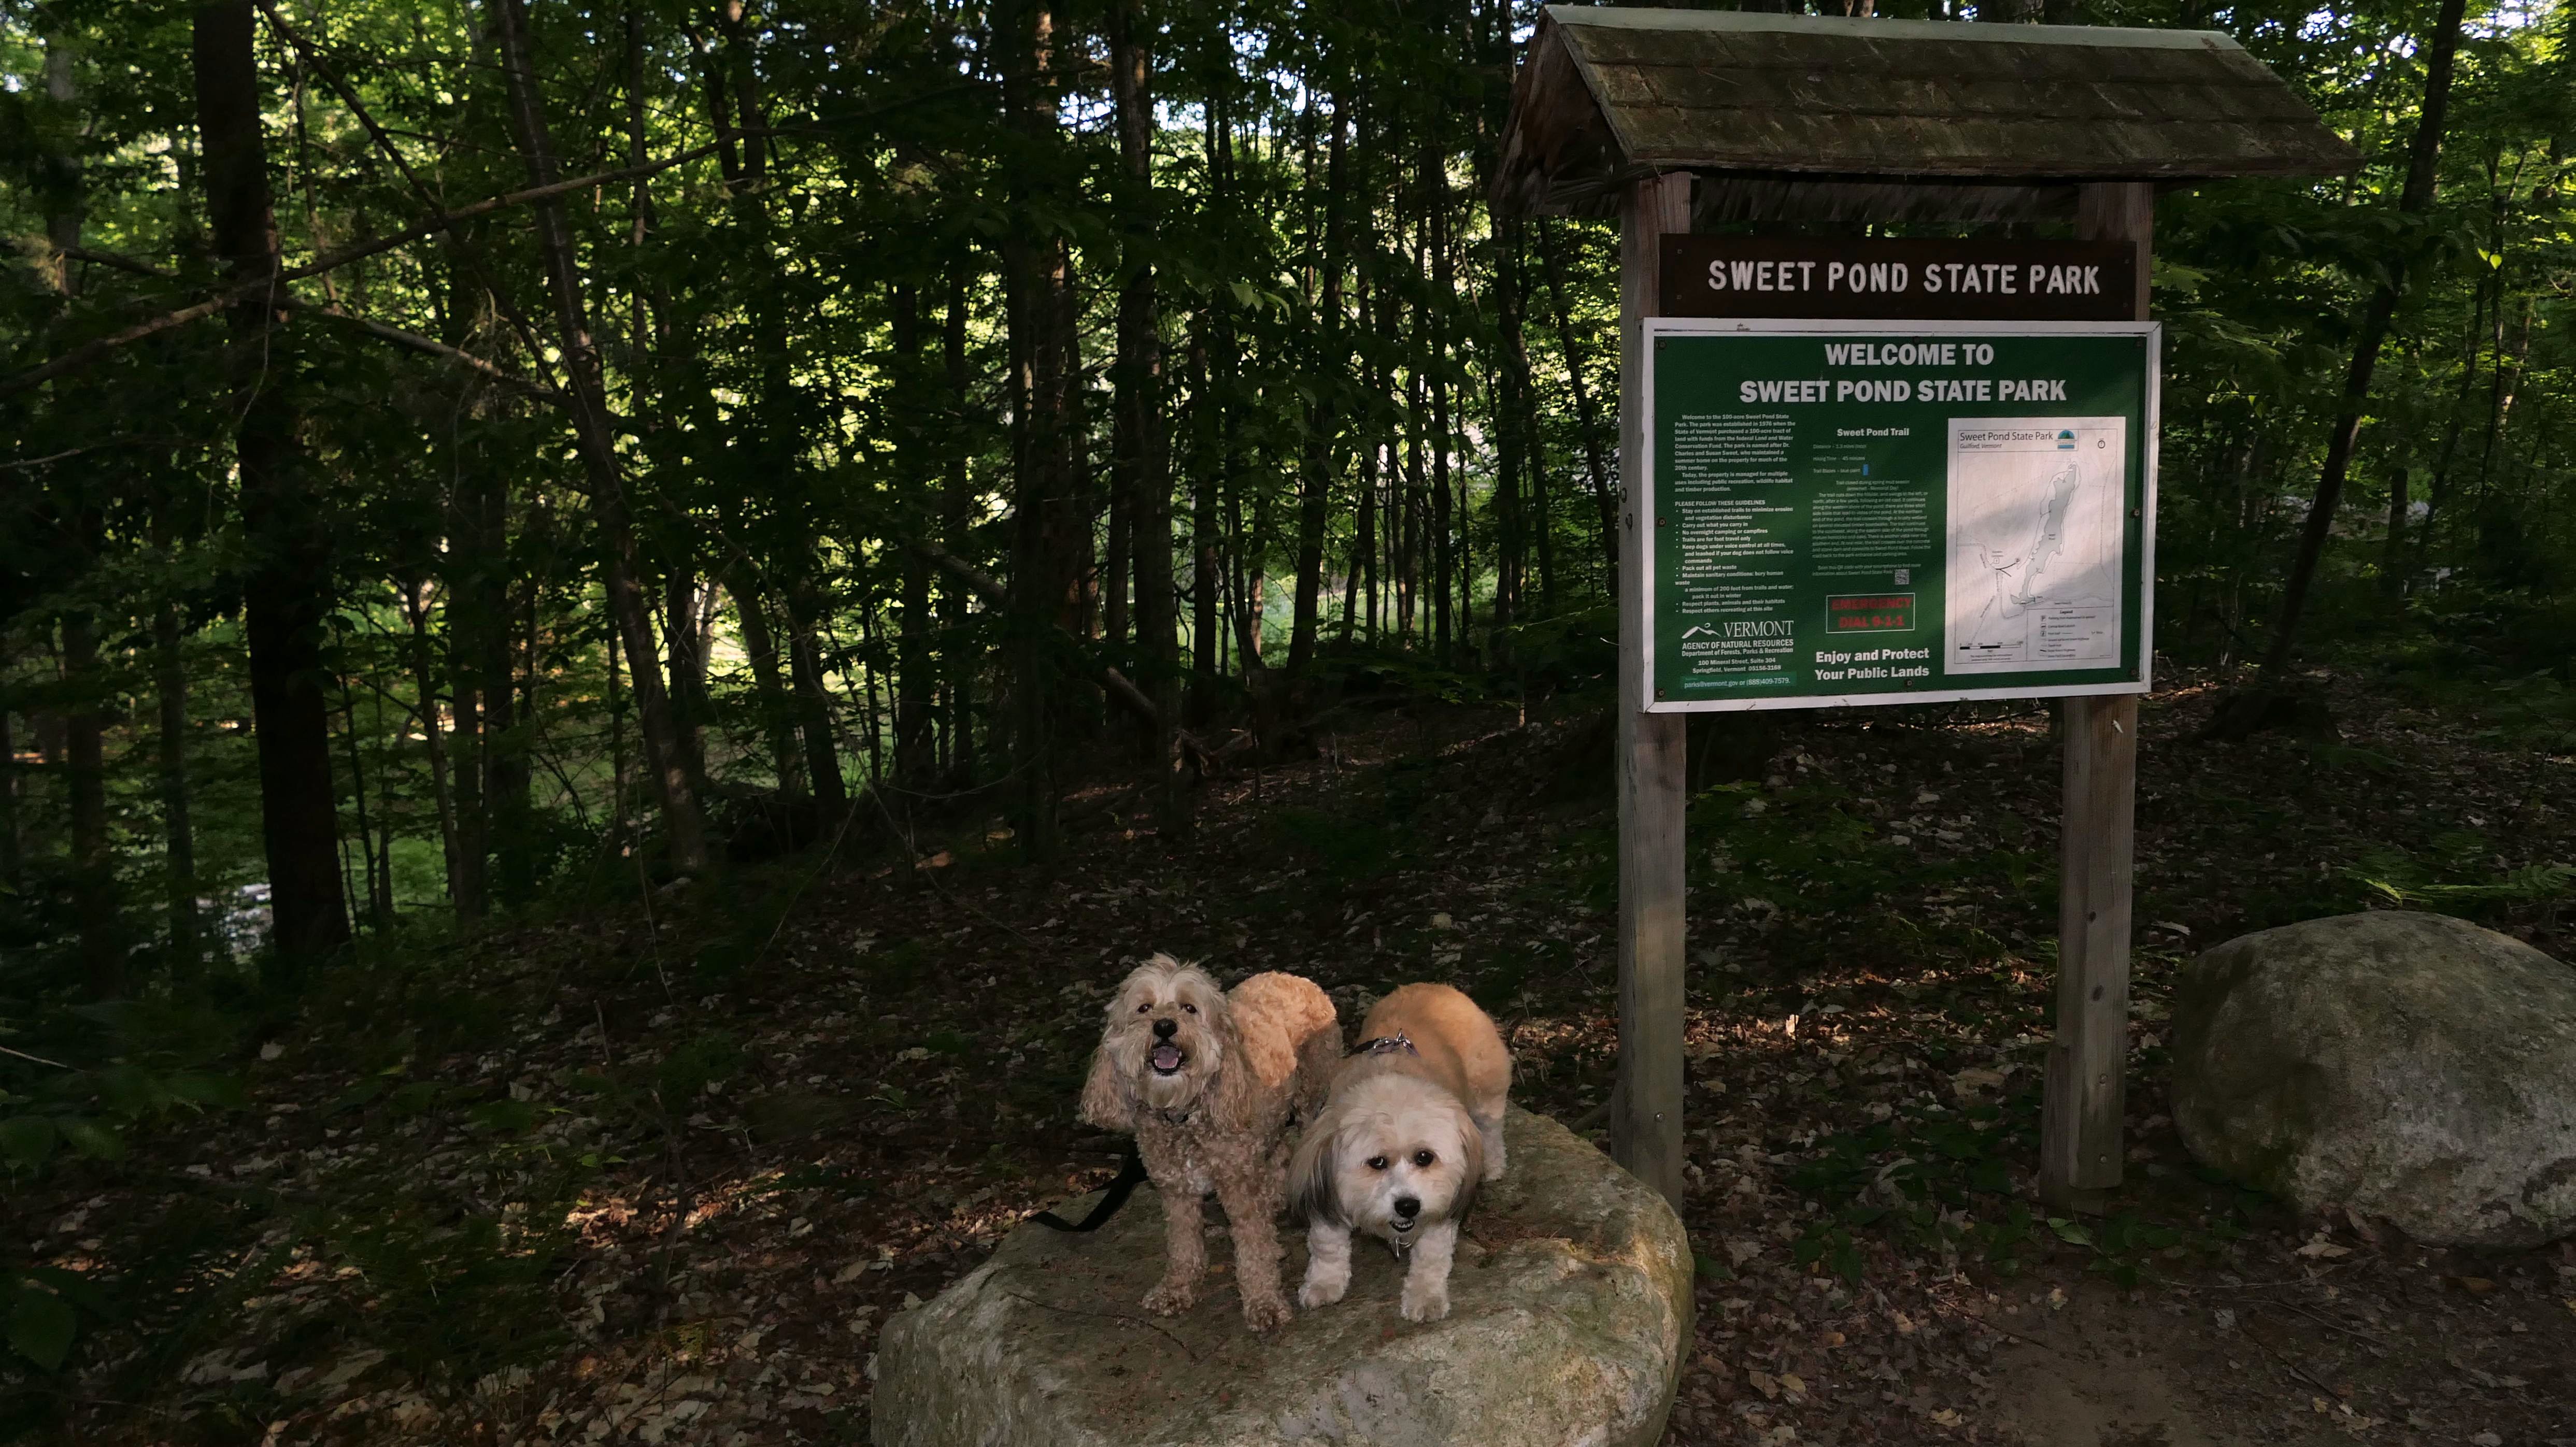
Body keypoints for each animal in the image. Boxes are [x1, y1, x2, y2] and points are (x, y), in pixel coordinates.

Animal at [1077, 955, 1339, 1331]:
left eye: (1189, 1008)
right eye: (1144, 1008)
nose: (1164, 1026)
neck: (1185, 1114)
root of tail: (1295, 978)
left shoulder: (1239, 1188)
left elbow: (1254, 1249)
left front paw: (1264, 1302)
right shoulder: (1176, 1191)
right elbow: (1183, 1245)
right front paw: (1176, 1289)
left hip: (1312, 1097)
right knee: (1278, 1153)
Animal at [1289, 982, 1509, 1323]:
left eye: (1425, 1157)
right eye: (1377, 1162)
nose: (1408, 1207)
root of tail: (1437, 986)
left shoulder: (1441, 1201)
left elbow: (1431, 1256)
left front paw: (1425, 1296)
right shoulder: (1326, 1188)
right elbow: (1327, 1243)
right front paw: (1323, 1284)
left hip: (1487, 1093)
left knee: (1492, 1128)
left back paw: (1493, 1163)